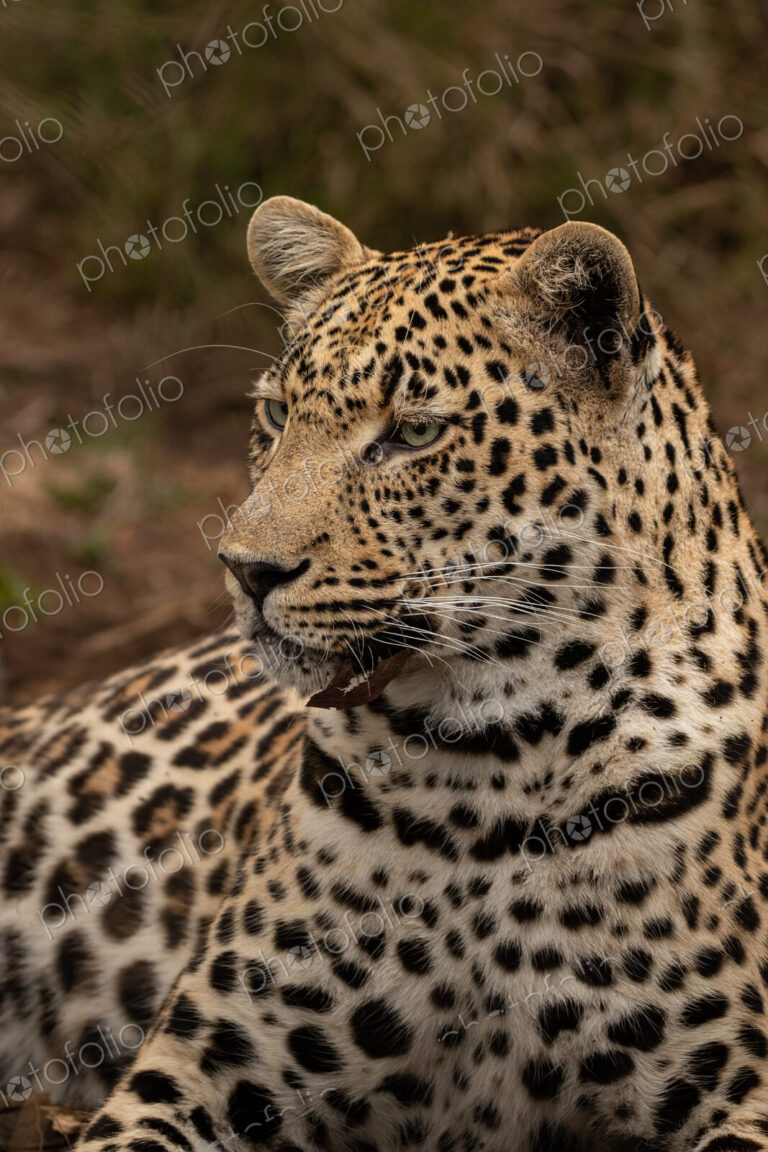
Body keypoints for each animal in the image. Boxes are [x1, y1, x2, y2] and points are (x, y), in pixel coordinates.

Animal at [2, 195, 768, 1152]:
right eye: (277, 416)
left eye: (414, 432)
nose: (244, 568)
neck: (488, 764)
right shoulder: (197, 1067)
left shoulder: (740, 1089)